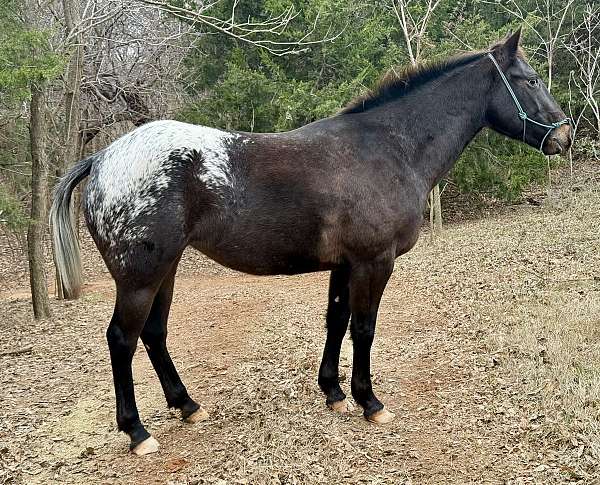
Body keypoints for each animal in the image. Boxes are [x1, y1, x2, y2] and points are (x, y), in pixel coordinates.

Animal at [50, 30, 572, 454]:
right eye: (528, 80)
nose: (565, 135)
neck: (388, 146)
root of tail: (102, 158)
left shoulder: (345, 265)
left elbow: (336, 322)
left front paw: (334, 393)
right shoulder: (373, 262)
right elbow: (364, 328)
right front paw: (369, 400)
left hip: (167, 269)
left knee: (154, 334)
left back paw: (187, 405)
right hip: (140, 278)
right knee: (123, 339)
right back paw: (137, 432)